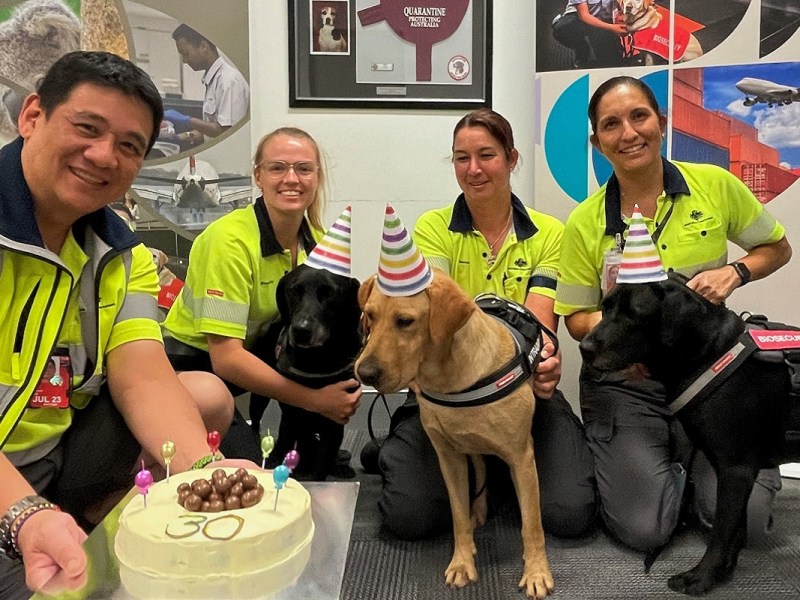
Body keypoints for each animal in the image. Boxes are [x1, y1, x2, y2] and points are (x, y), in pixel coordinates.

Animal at [250, 264, 362, 480]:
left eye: (329, 293)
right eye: (294, 290)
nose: (301, 330)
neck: (315, 360)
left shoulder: (335, 423)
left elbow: (322, 465)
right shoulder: (294, 415)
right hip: (260, 396)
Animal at [354, 270, 552, 596]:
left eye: (405, 321)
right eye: (370, 316)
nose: (364, 373)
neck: (451, 379)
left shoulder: (521, 459)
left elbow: (532, 524)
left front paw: (536, 572)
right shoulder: (449, 459)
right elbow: (458, 516)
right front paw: (462, 561)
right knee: (480, 465)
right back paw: (478, 512)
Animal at [580, 270, 796, 596]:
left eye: (634, 314)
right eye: (605, 308)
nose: (585, 348)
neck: (709, 355)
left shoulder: (737, 469)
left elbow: (722, 531)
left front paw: (701, 578)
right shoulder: (733, 470)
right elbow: (736, 528)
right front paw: (724, 571)